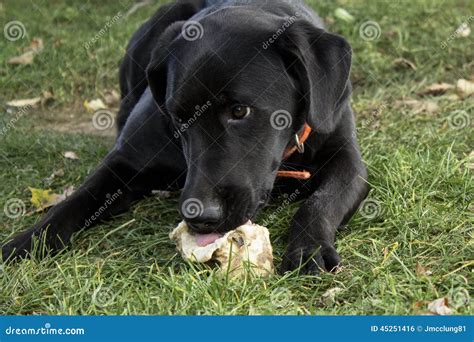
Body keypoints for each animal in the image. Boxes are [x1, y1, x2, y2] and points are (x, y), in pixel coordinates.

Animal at [1, 0, 368, 274]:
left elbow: (320, 203)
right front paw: (25, 242)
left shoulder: (349, 161)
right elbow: (75, 201)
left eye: (240, 111)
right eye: (178, 117)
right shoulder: (124, 161)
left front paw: (309, 249)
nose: (200, 216)